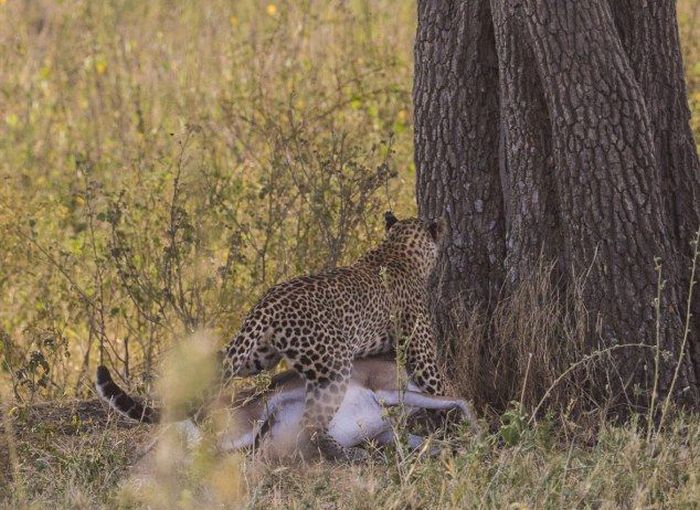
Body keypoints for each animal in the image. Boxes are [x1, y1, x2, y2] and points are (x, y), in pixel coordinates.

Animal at [219, 212, 448, 462]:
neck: (398, 250)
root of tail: (271, 301)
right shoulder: (423, 357)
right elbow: (442, 389)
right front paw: (459, 429)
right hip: (335, 366)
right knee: (310, 425)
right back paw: (351, 453)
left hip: (256, 357)